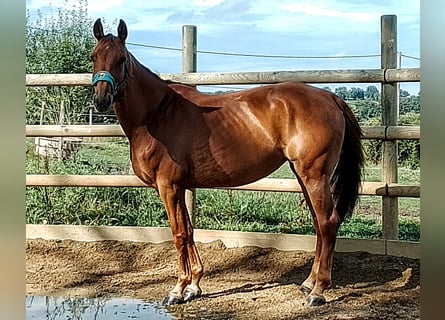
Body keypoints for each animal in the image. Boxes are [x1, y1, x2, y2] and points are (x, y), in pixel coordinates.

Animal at [91, 18, 364, 308]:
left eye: (121, 59)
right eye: (94, 56)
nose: (101, 99)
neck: (157, 114)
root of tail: (330, 97)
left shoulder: (169, 187)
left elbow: (178, 234)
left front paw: (178, 289)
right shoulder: (180, 187)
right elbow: (189, 230)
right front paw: (194, 286)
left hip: (314, 175)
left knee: (327, 223)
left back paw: (318, 290)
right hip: (304, 176)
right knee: (318, 224)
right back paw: (308, 283)